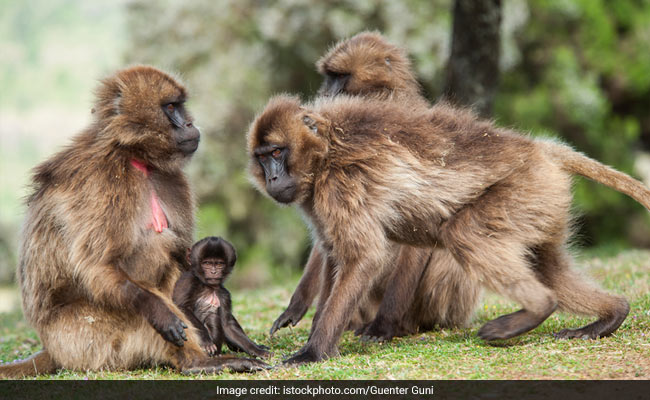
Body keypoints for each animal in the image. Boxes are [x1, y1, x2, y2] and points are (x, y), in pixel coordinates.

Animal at [0, 66, 268, 378]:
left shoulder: (170, 180)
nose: (191, 124)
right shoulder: (102, 186)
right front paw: (159, 312)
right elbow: (98, 267)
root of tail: (51, 348)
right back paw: (197, 362)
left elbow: (186, 256)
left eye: (180, 106)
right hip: (81, 335)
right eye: (171, 107)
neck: (134, 158)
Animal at [248, 95, 636, 364]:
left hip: (522, 188)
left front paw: (313, 353)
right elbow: (333, 256)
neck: (325, 149)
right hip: (541, 199)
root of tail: (538, 149)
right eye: (262, 157)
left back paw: (537, 308)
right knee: (549, 267)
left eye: (278, 152)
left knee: (463, 235)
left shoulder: (340, 186)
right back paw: (611, 315)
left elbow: (365, 258)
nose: (273, 179)